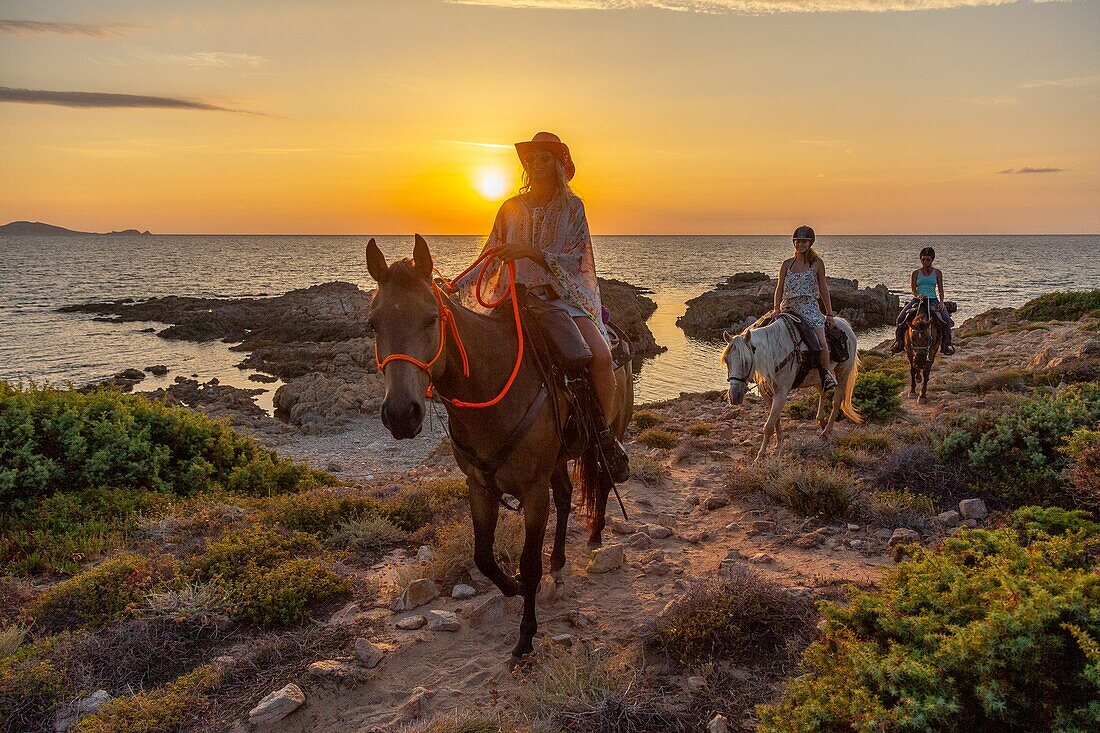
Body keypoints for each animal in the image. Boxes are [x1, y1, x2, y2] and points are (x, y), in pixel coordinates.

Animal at [367, 234, 633, 655]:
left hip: (610, 433)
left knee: (603, 478)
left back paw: (594, 535)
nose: (400, 414)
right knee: (566, 495)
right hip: (556, 460)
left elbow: (528, 562)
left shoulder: (533, 491)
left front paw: (525, 636)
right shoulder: (480, 486)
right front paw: (515, 588)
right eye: (373, 324)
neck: (491, 387)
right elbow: (484, 557)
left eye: (431, 317)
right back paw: (559, 560)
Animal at [726, 316, 862, 460]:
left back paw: (826, 431)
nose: (734, 396)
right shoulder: (767, 394)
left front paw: (761, 455)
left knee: (837, 401)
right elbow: (775, 420)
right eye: (727, 361)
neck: (775, 352)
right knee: (822, 392)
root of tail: (845, 324)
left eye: (745, 362)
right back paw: (821, 421)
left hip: (843, 372)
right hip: (816, 377)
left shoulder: (781, 393)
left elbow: (768, 425)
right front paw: (778, 444)